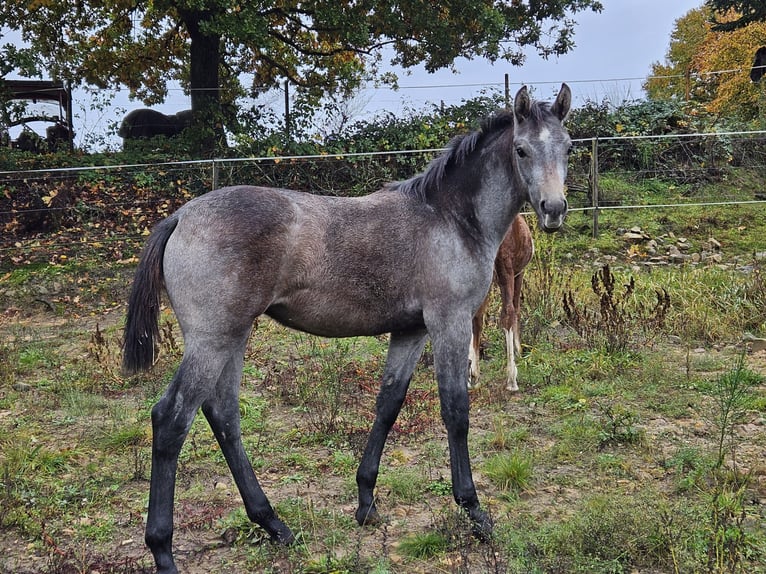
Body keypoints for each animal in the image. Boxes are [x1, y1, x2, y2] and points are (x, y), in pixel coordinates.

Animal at [123, 83, 572, 572]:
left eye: (568, 147)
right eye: (521, 149)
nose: (553, 209)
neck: (450, 217)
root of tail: (181, 217)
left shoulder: (411, 331)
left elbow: (388, 404)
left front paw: (366, 502)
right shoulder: (449, 323)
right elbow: (456, 412)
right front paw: (473, 511)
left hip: (233, 337)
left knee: (223, 415)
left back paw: (274, 524)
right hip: (212, 340)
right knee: (172, 419)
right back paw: (163, 550)